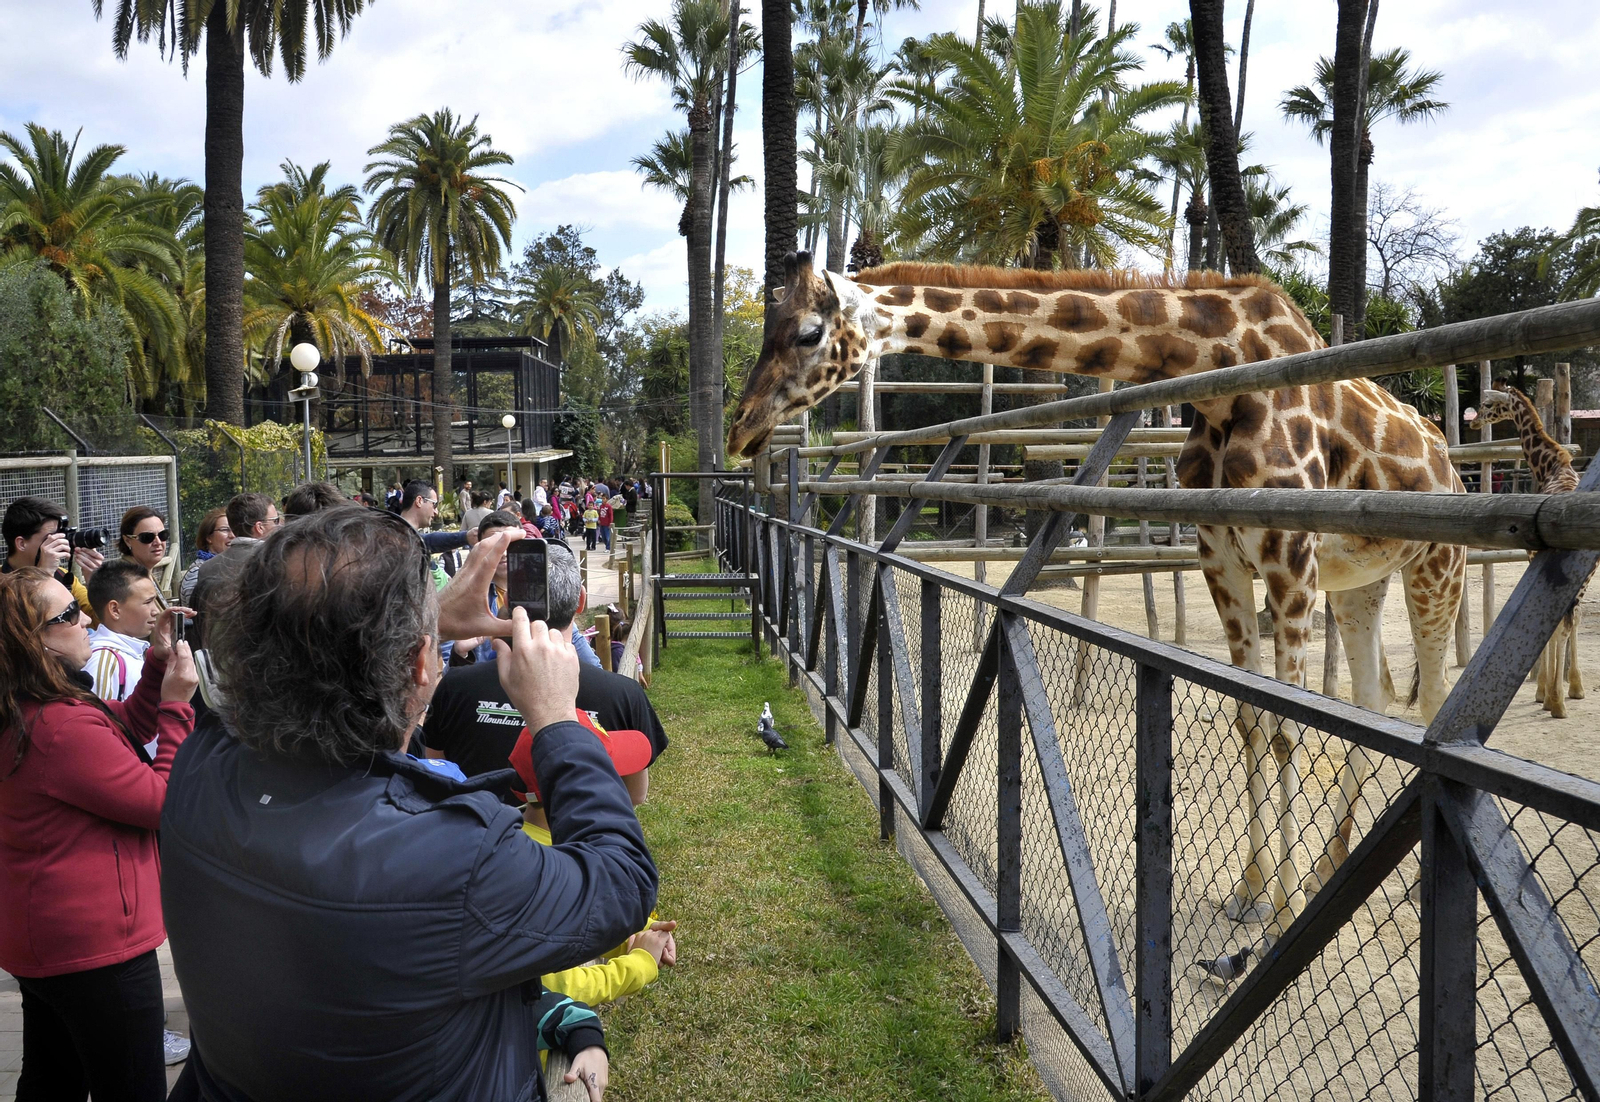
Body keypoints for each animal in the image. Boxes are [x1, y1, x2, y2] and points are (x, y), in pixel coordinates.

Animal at [730, 252, 1467, 934]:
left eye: (806, 332)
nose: (741, 427)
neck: (1222, 370)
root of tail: (1448, 456)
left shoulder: (1287, 555)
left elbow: (1287, 729)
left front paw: (1280, 914)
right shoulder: (1223, 558)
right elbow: (1251, 721)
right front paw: (1252, 893)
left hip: (1437, 562)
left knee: (1433, 698)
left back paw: (1404, 886)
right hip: (1359, 583)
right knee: (1374, 699)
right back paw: (1327, 868)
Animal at [1476, 386, 1589, 717]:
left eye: (1487, 403)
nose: (1473, 421)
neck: (1550, 466)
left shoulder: (1531, 557)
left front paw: (1544, 693)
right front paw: (1572, 688)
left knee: (1561, 624)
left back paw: (1556, 702)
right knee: (1570, 620)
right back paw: (1563, 694)